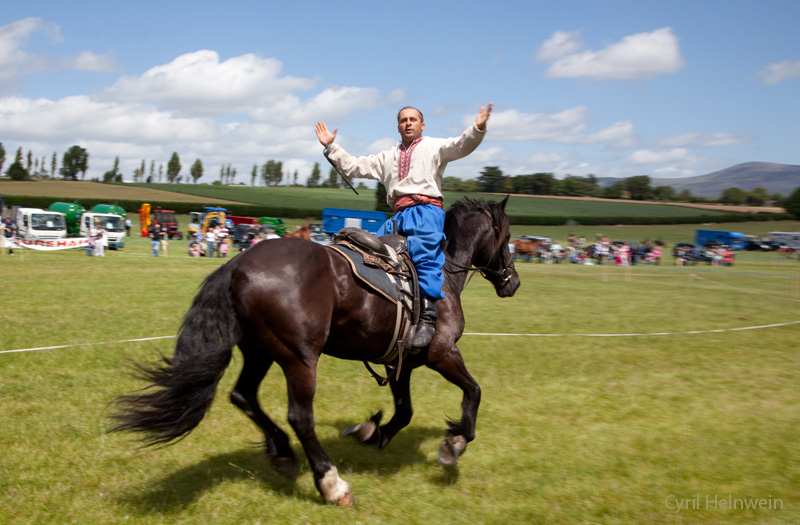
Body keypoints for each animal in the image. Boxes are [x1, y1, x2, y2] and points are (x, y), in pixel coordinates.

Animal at [111, 195, 520, 504]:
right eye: (508, 237)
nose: (512, 282)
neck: (444, 273)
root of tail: (238, 263)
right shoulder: (442, 354)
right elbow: (473, 392)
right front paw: (455, 443)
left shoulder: (399, 363)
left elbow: (404, 411)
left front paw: (373, 433)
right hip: (300, 358)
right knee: (299, 417)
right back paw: (331, 483)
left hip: (261, 352)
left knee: (243, 396)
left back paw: (282, 452)